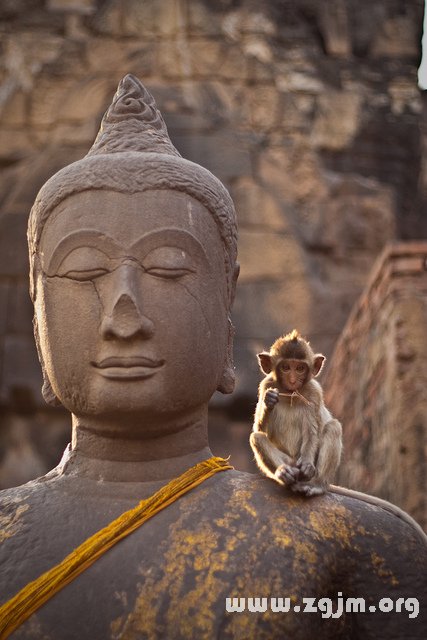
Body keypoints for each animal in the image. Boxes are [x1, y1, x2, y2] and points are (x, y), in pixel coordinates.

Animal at [251, 330, 344, 496]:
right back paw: (284, 473)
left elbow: (312, 432)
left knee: (334, 427)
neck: (290, 394)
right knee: (257, 437)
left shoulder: (314, 393)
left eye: (300, 368)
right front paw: (269, 401)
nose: (293, 380)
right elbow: (260, 430)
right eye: (286, 367)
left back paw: (316, 485)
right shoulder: (265, 385)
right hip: (291, 462)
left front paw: (306, 463)